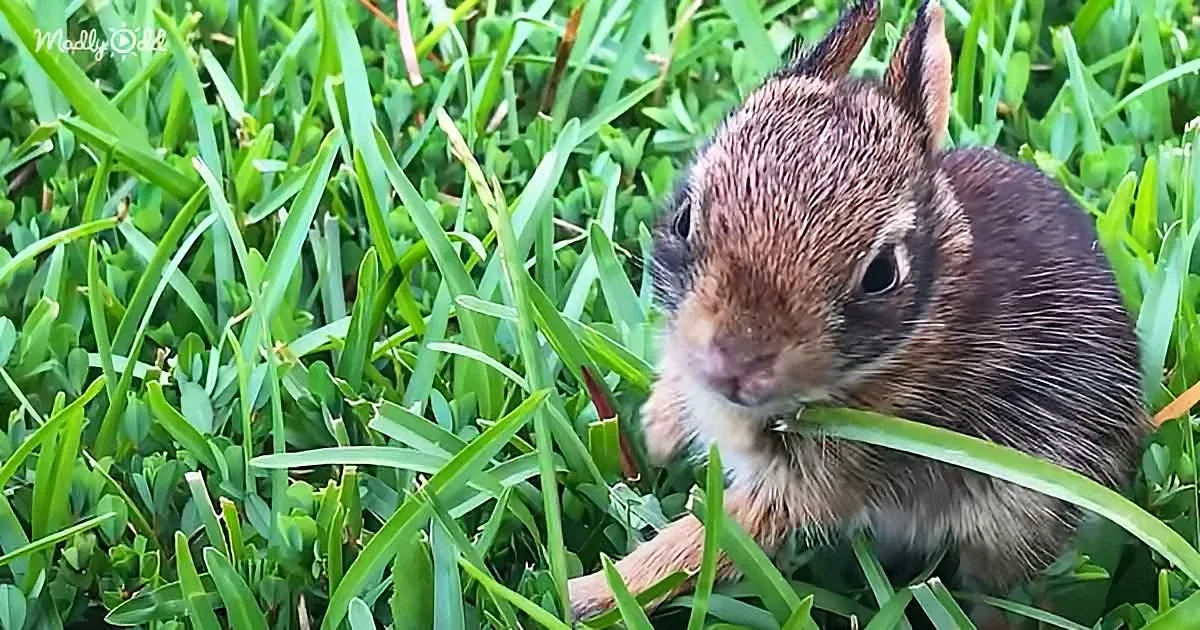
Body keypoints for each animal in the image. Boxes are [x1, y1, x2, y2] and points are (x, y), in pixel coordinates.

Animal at [565, 1, 1150, 628]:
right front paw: (655, 436)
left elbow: (705, 542)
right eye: (684, 219)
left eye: (881, 274)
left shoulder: (815, 480)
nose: (733, 366)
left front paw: (584, 594)